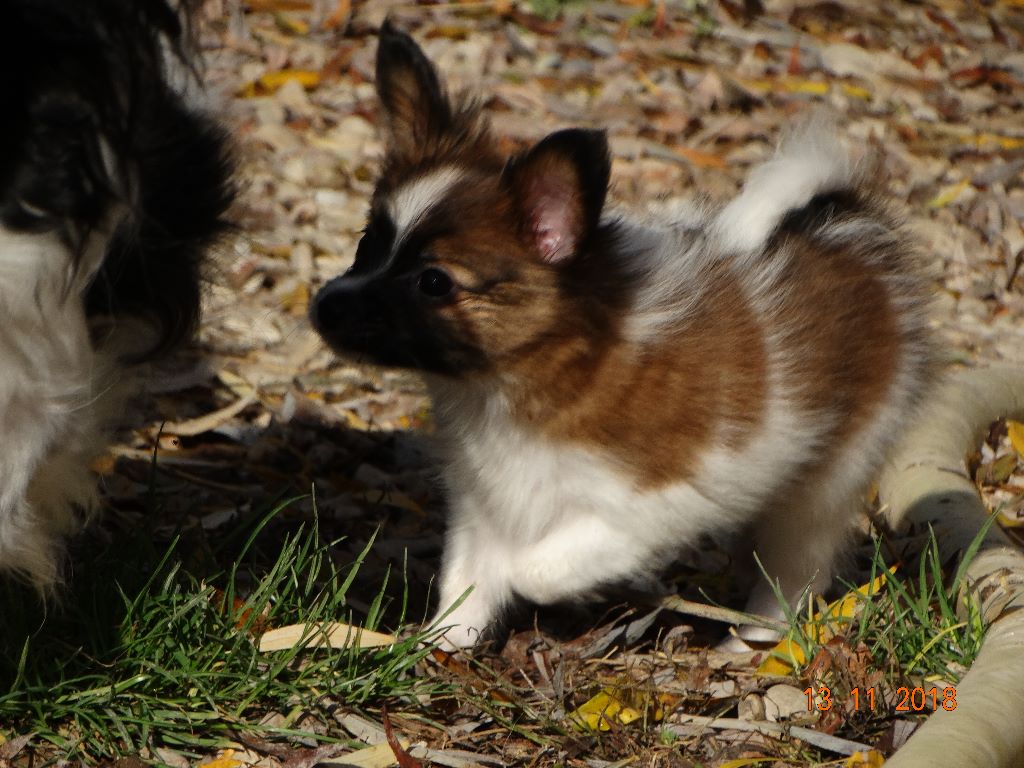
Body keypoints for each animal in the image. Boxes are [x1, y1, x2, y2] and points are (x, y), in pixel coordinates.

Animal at [311, 22, 934, 649]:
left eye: (434, 282)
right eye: (368, 243)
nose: (323, 306)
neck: (515, 379)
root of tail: (848, 226)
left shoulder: (646, 509)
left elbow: (531, 568)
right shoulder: (484, 497)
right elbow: (467, 577)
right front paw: (439, 646)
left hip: (823, 483)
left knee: (796, 569)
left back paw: (750, 638)